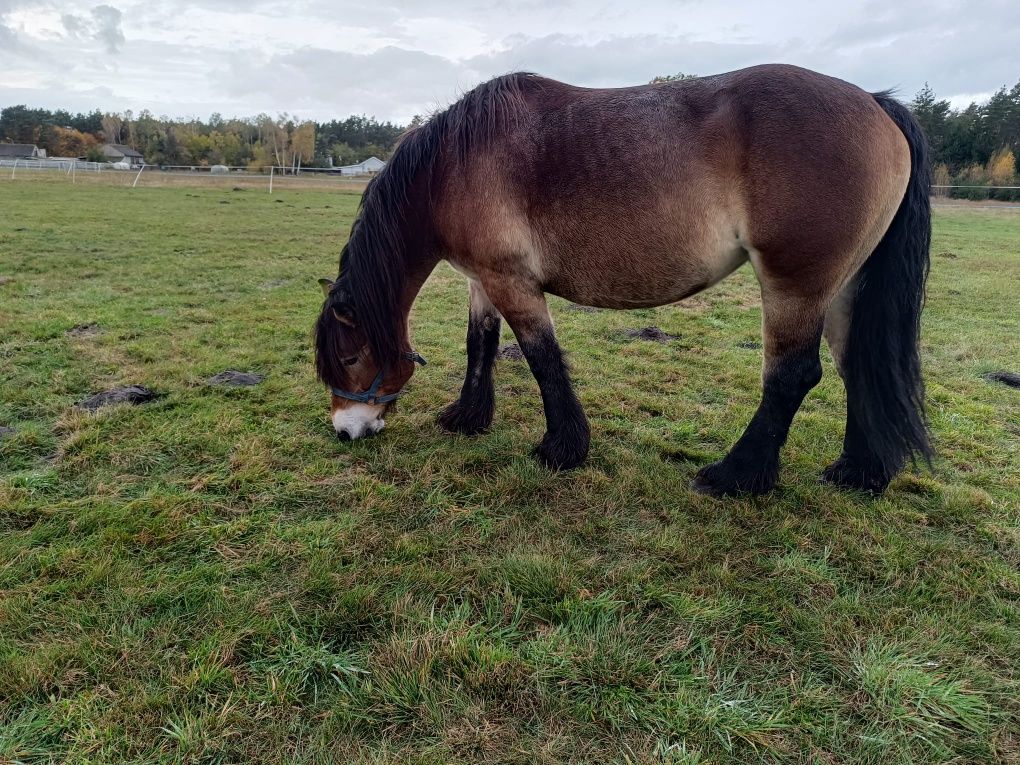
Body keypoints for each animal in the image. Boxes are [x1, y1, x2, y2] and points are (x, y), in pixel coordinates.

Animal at [314, 64, 930, 497]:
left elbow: (541, 358)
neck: (451, 167)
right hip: (845, 288)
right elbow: (480, 346)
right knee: (857, 366)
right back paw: (858, 472)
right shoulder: (482, 281)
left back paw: (735, 476)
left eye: (349, 358)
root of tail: (874, 104)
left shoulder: (512, 282)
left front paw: (561, 448)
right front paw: (467, 418)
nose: (345, 430)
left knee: (793, 376)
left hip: (795, 286)